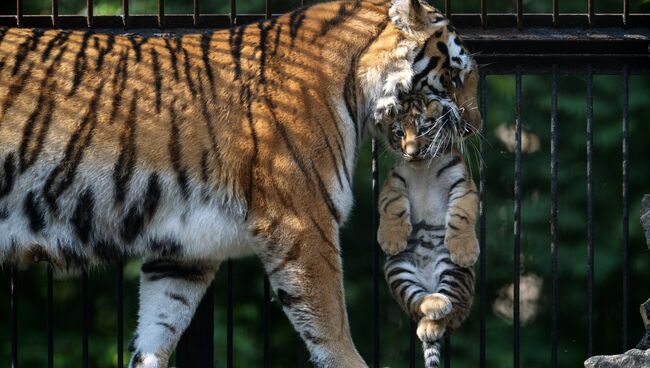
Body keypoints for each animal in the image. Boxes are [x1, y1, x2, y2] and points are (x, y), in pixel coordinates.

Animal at [0, 1, 476, 366]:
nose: (472, 127)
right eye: (456, 75)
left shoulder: (183, 251)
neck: (356, 89)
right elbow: (331, 326)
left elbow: (159, 329)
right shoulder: (303, 222)